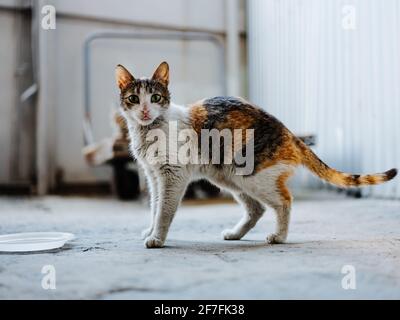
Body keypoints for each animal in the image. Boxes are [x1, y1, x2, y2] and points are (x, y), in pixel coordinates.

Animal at [115, 62, 396, 248]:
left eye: (155, 97)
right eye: (133, 98)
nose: (145, 111)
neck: (149, 131)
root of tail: (289, 133)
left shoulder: (173, 176)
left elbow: (164, 210)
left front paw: (157, 238)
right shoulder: (153, 177)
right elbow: (154, 207)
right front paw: (150, 231)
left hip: (251, 176)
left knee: (284, 201)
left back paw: (279, 237)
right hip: (230, 177)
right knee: (257, 208)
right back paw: (236, 234)